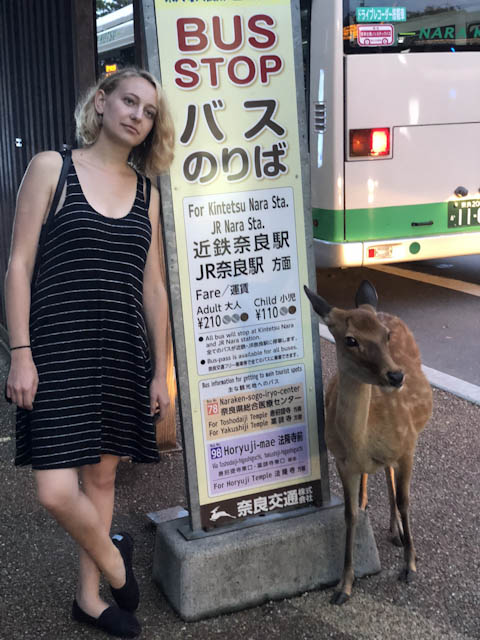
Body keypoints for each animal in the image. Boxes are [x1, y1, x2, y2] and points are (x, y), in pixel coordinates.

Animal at [304, 280, 432, 605]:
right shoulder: (341, 461)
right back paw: (376, 513)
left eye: (385, 336)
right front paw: (344, 586)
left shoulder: (407, 445)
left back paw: (398, 533)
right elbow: (348, 515)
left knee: (390, 479)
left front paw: (410, 565)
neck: (362, 441)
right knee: (379, 474)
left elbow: (404, 500)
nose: (396, 375)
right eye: (351, 340)